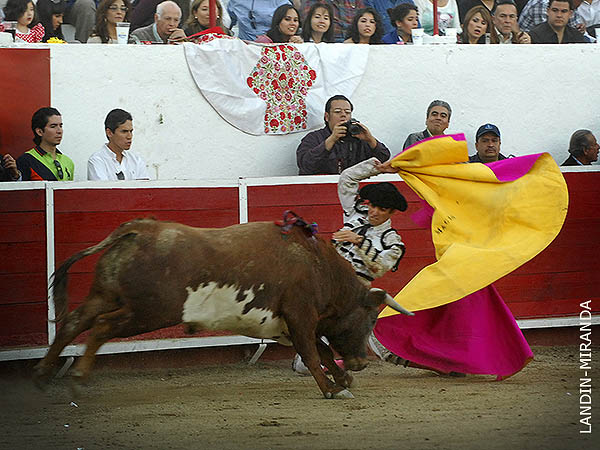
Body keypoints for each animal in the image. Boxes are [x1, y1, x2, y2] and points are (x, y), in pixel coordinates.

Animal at [34, 218, 412, 398]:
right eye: (369, 320)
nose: (361, 362)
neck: (319, 264)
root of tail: (137, 229)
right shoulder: (300, 316)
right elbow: (312, 352)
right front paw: (333, 389)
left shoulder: (285, 325)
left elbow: (319, 349)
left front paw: (343, 379)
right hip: (147, 312)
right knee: (100, 327)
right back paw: (77, 378)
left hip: (106, 295)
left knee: (73, 322)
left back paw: (43, 373)